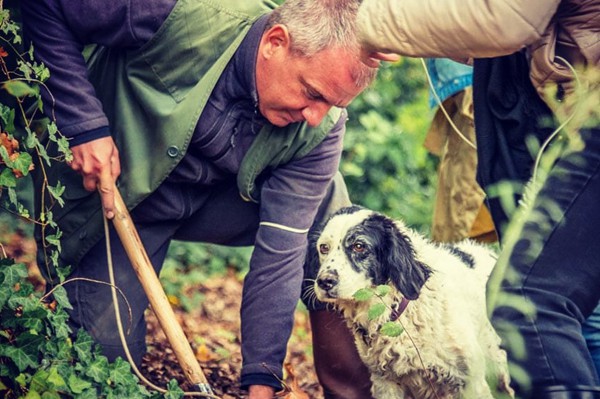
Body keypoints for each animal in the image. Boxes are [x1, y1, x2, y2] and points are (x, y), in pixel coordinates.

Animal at [308, 208, 512, 398]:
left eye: (359, 246)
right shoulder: (385, 382)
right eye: (324, 247)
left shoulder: (470, 382)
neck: (398, 312)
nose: (324, 281)